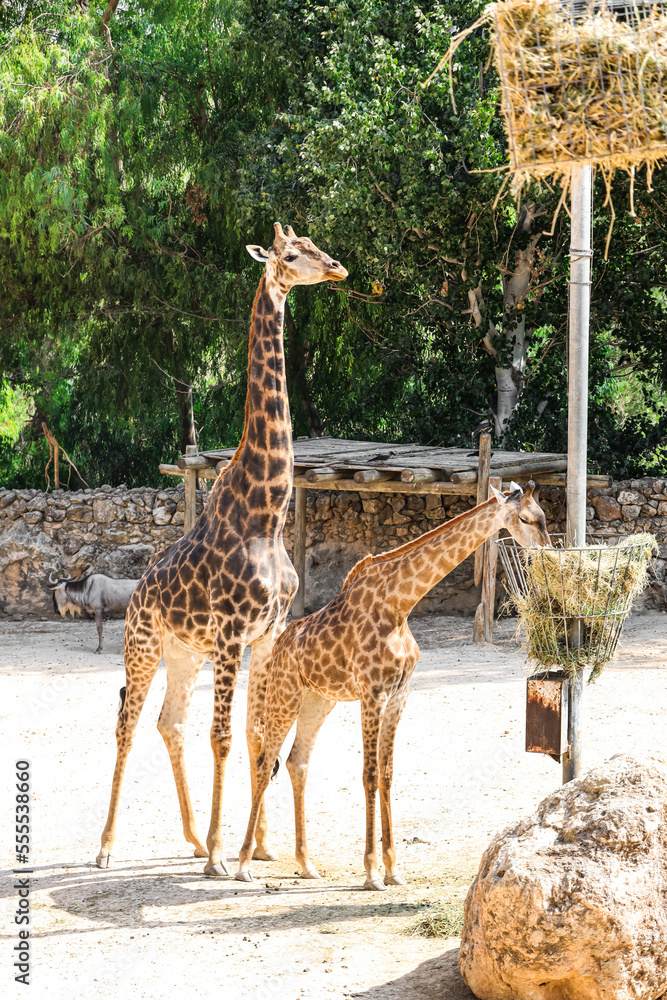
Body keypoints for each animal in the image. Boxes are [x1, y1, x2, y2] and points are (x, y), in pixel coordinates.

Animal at [99, 221, 350, 876]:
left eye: (313, 244)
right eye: (290, 253)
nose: (336, 267)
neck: (268, 511)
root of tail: (137, 591)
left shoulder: (267, 634)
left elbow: (260, 732)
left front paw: (255, 848)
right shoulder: (234, 634)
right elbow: (226, 736)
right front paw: (221, 856)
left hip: (185, 652)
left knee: (170, 722)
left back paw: (190, 837)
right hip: (144, 644)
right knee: (129, 721)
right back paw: (109, 847)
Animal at [237, 484, 552, 892]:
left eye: (544, 516)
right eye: (526, 518)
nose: (549, 553)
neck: (400, 604)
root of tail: (280, 645)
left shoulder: (399, 695)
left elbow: (386, 774)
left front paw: (392, 868)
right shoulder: (372, 692)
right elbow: (369, 774)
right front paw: (371, 872)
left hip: (317, 701)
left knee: (297, 762)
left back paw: (307, 865)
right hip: (284, 694)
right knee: (264, 763)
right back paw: (244, 864)